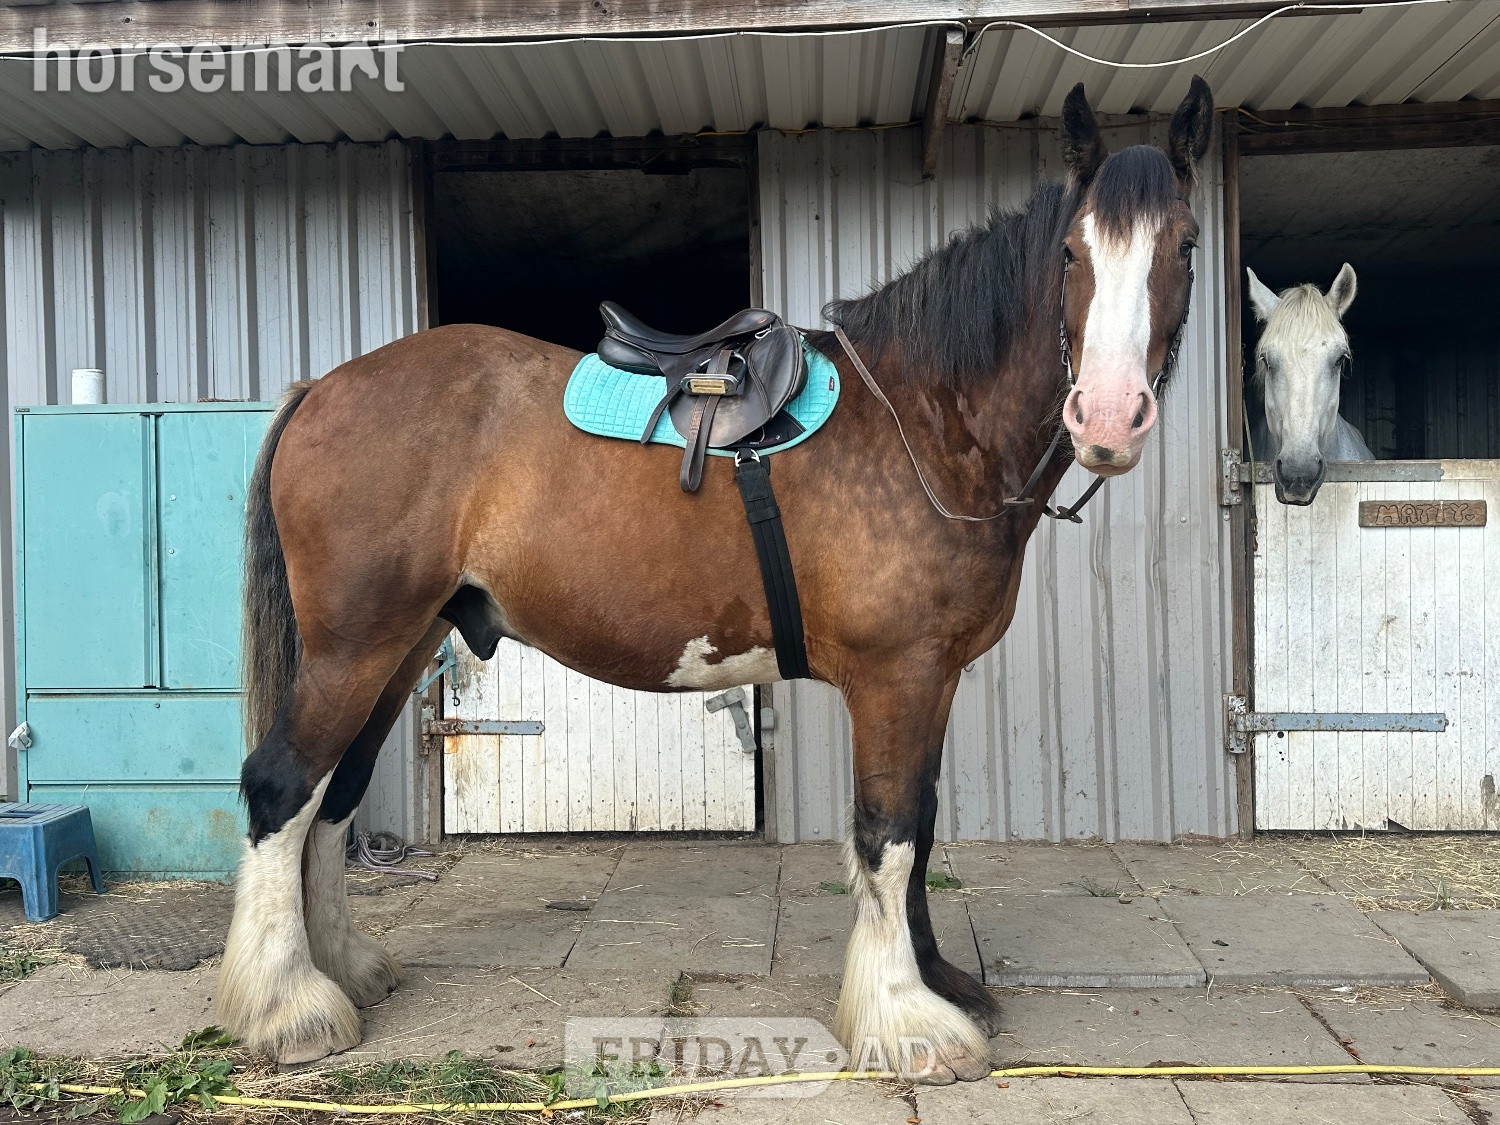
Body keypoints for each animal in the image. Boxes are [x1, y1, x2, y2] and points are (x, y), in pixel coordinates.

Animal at [216, 77, 1215, 1083]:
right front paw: (906, 1017)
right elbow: (889, 833)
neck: (926, 423)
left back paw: (345, 968)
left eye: (1185, 245)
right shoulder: (896, 676)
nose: (1108, 418)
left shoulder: (934, 679)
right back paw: (290, 1007)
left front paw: (937, 980)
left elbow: (923, 824)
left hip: (402, 641)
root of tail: (325, 387)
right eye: (1071, 252)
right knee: (282, 786)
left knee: (335, 794)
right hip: (354, 645)